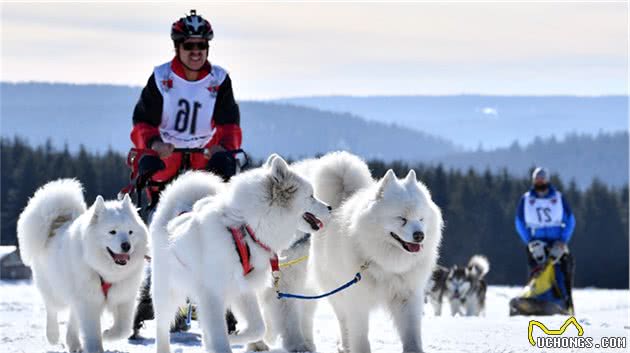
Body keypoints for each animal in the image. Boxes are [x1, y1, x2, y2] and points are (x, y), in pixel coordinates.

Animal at [17, 179, 149, 352]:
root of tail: (57, 222)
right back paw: (53, 336)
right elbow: (92, 333)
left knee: (72, 318)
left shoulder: (123, 298)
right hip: (54, 289)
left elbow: (123, 329)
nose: (126, 245)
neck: (106, 272)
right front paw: (97, 345)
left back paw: (73, 344)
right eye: (112, 232)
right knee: (51, 308)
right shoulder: (89, 302)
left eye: (130, 232)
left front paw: (107, 334)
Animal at [151, 154, 334, 352]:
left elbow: (258, 327)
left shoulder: (242, 289)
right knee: (161, 327)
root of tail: (168, 219)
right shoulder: (212, 295)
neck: (246, 229)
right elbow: (220, 337)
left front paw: (234, 337)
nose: (330, 207)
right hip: (166, 293)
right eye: (311, 196)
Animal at [256, 151, 444, 352]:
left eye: (421, 219)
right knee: (340, 320)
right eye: (401, 219)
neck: (385, 263)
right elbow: (359, 336)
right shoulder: (355, 298)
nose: (419, 235)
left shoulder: (407, 296)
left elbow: (412, 336)